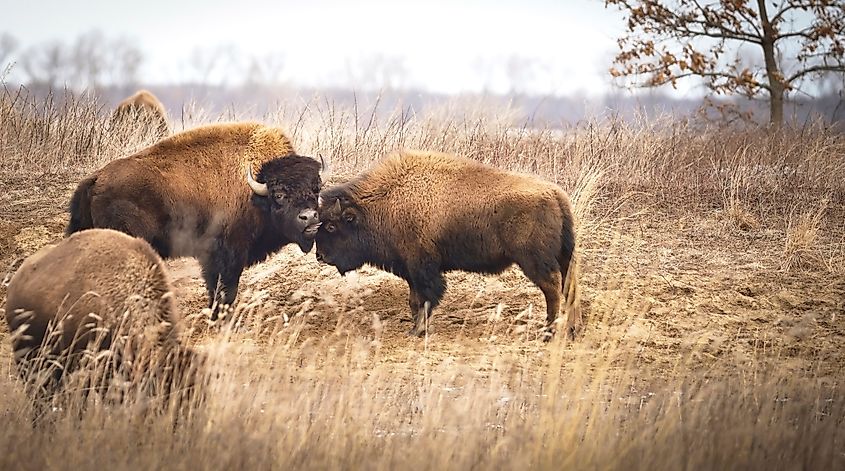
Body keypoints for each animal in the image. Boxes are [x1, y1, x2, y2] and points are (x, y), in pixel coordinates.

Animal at [64, 121, 324, 320]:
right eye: (279, 194)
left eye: (316, 188)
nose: (309, 217)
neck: (256, 189)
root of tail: (97, 178)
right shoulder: (226, 255)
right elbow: (225, 289)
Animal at [314, 151, 580, 340]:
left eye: (331, 226)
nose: (320, 256)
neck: (386, 201)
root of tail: (555, 194)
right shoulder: (410, 270)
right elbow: (414, 300)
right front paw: (416, 327)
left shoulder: (422, 267)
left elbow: (426, 298)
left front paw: (418, 331)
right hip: (564, 256)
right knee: (569, 287)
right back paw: (571, 331)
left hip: (534, 261)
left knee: (552, 289)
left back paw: (549, 333)